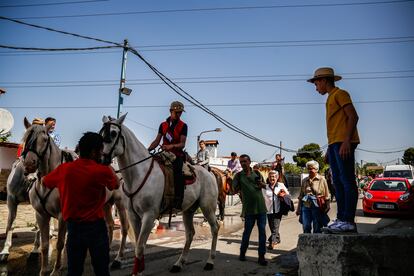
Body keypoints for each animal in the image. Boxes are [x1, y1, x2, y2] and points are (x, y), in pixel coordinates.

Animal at [100, 113, 220, 274]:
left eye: (113, 133)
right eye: (101, 133)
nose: (102, 159)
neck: (138, 174)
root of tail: (210, 173)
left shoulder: (149, 215)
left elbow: (139, 247)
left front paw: (138, 271)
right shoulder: (133, 215)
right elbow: (138, 244)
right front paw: (139, 268)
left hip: (207, 207)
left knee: (215, 228)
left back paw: (210, 261)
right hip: (188, 211)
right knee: (190, 234)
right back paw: (179, 263)